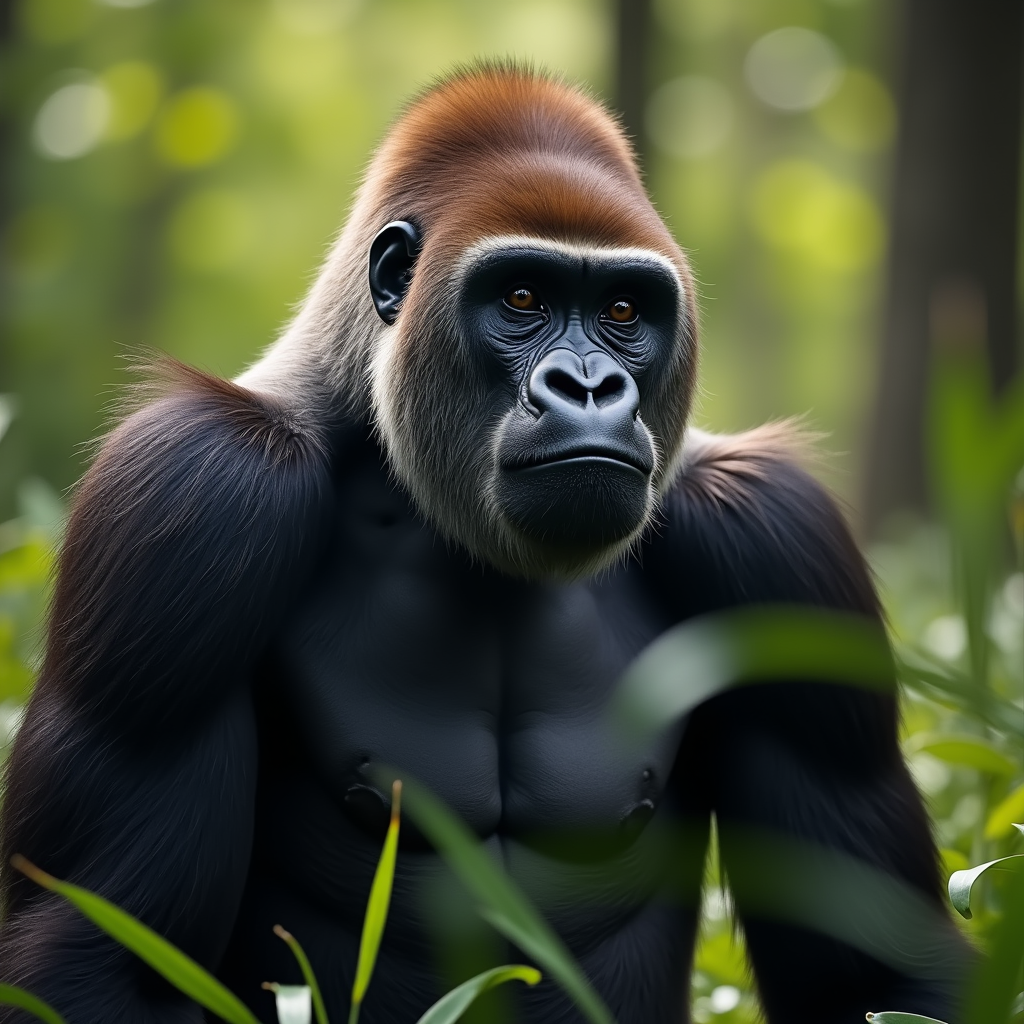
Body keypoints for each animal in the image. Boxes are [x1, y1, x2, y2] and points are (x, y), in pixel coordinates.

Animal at [0, 64, 965, 1024]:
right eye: (523, 299)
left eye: (623, 310)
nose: (590, 387)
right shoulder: (195, 488)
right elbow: (104, 959)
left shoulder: (775, 535)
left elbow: (878, 979)